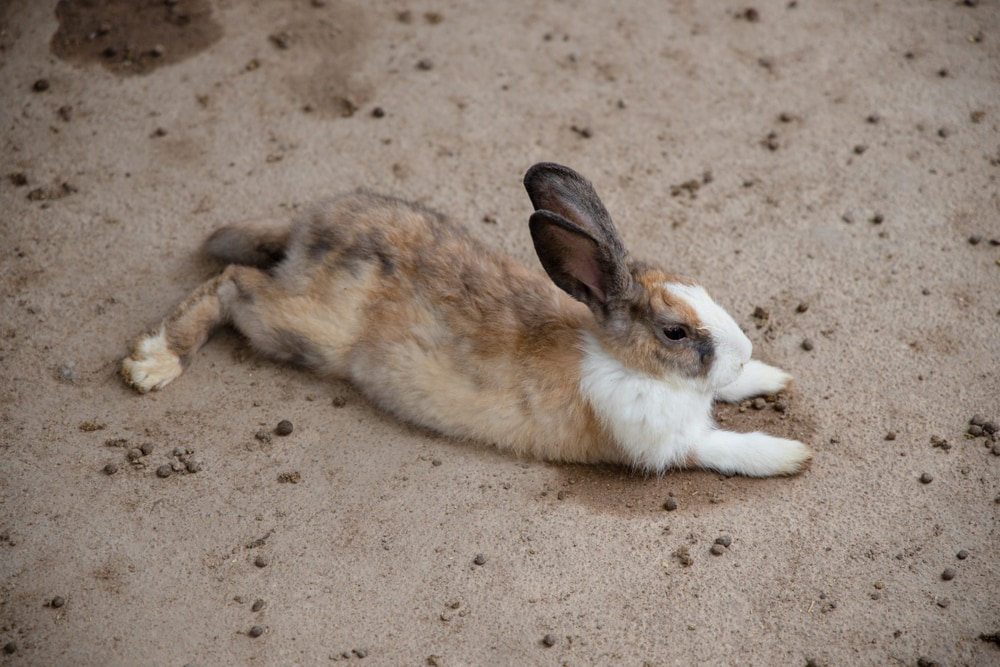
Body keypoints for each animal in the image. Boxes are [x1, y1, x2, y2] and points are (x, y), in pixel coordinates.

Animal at [122, 162, 813, 477]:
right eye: (673, 332)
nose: (742, 350)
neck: (624, 359)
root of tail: (308, 229)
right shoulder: (667, 443)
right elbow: (726, 446)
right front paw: (792, 454)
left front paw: (770, 378)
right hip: (299, 326)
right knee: (232, 285)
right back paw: (153, 363)